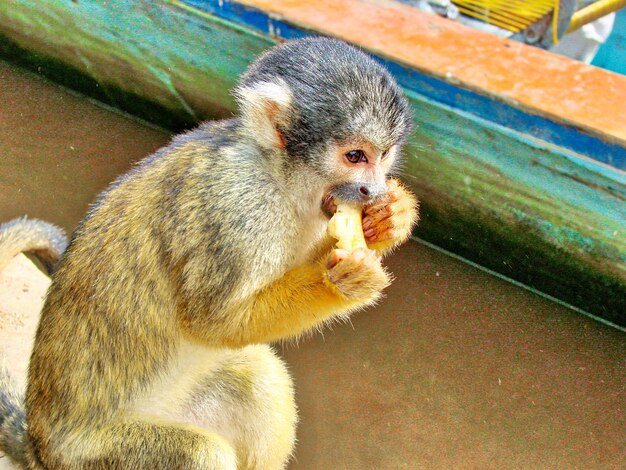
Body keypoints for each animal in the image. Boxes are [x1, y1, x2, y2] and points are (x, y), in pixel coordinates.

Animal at [1, 37, 420, 470]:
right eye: (355, 156)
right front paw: (339, 281)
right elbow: (216, 323)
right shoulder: (235, 207)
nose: (373, 189)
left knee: (260, 382)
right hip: (95, 456)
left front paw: (392, 218)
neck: (276, 175)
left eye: (384, 155)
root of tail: (38, 443)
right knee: (201, 453)